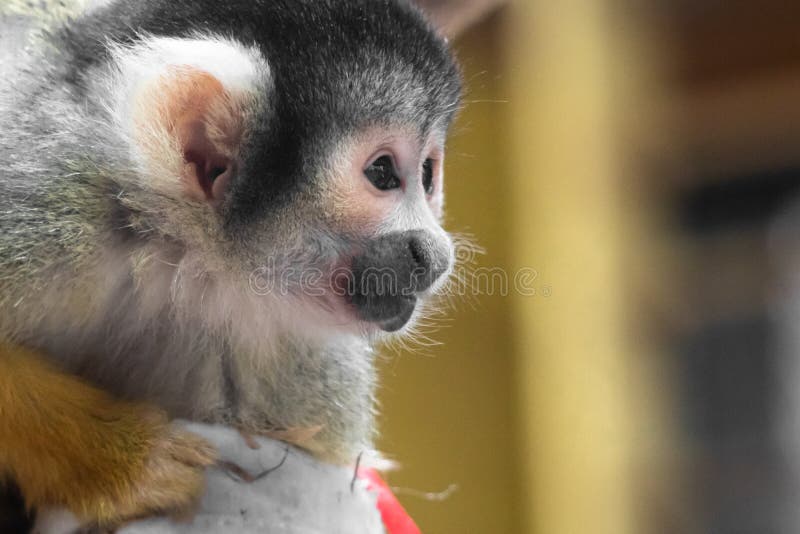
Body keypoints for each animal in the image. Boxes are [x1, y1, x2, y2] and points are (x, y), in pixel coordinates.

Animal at [0, 0, 462, 528]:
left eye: (427, 175)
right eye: (382, 173)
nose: (436, 256)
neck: (180, 256)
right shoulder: (52, 202)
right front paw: (127, 463)